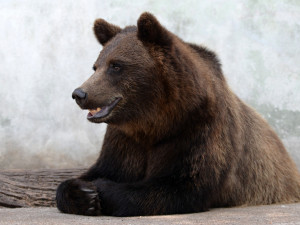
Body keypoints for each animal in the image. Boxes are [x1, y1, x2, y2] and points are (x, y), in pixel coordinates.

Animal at [55, 12, 300, 216]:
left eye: (116, 65)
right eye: (96, 66)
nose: (80, 93)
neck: (156, 120)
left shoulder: (198, 130)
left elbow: (181, 186)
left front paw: (101, 190)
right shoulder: (124, 139)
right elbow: (101, 169)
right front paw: (83, 192)